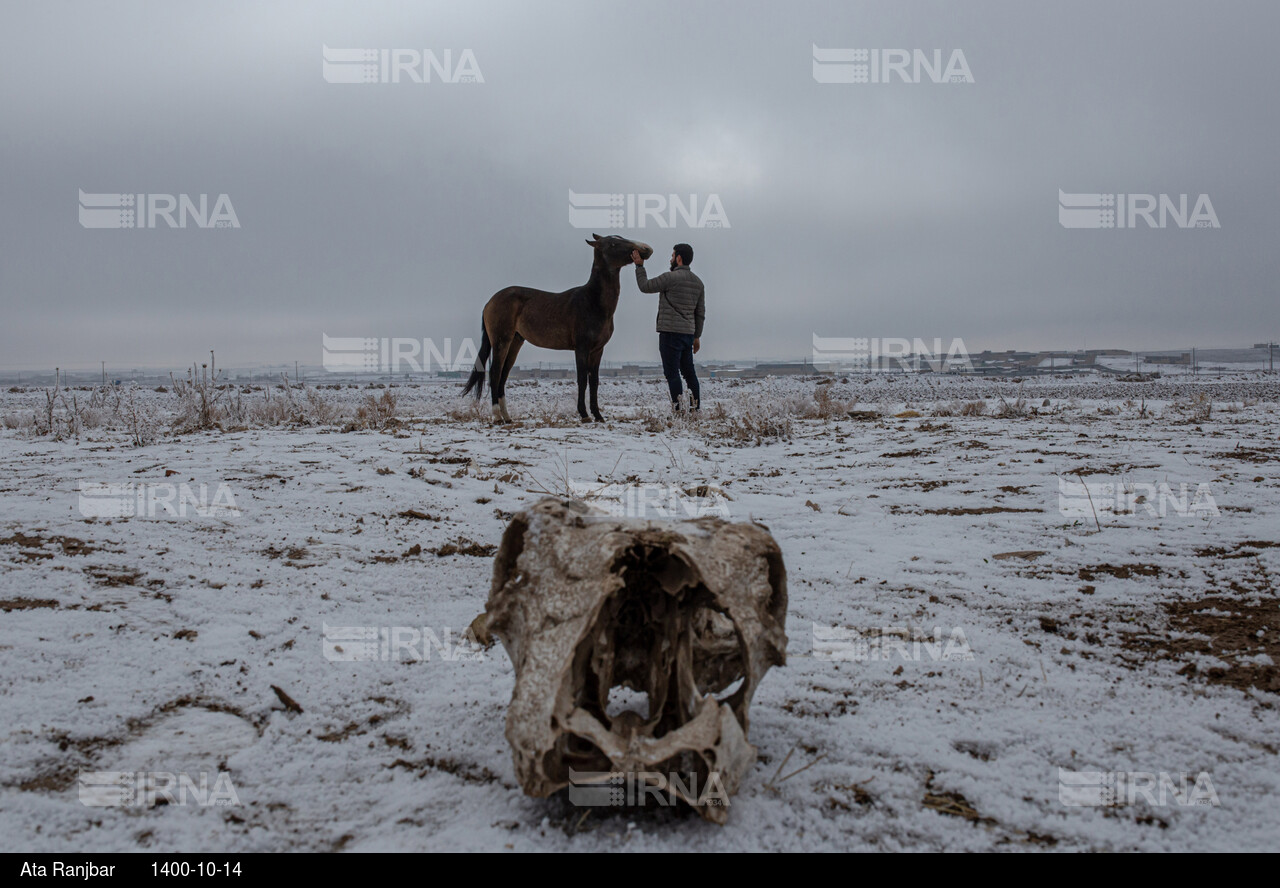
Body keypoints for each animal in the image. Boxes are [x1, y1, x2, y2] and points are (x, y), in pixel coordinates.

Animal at [463, 232, 650, 419]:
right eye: (612, 244)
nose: (646, 249)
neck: (593, 301)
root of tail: (490, 302)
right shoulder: (581, 348)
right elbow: (582, 379)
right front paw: (584, 414)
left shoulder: (597, 350)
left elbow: (594, 381)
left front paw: (598, 415)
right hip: (501, 341)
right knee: (495, 373)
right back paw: (497, 416)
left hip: (515, 342)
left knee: (503, 374)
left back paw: (507, 418)